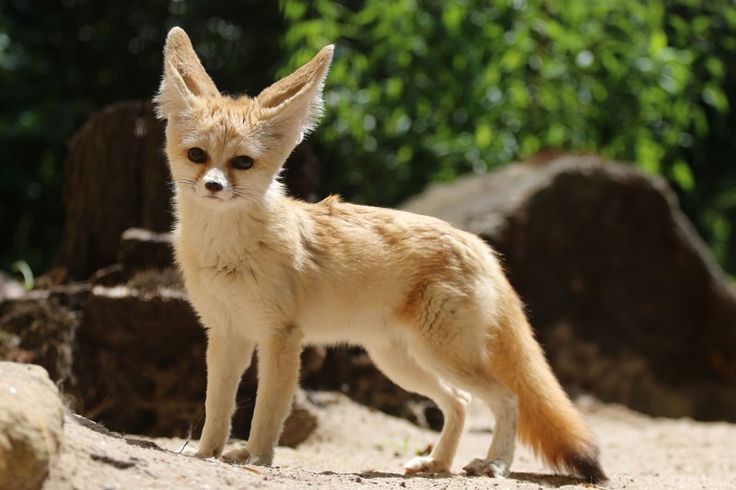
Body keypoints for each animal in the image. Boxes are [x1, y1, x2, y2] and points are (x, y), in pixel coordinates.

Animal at [154, 27, 606, 483]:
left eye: (242, 163)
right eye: (197, 156)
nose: (213, 186)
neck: (225, 251)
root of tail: (475, 242)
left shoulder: (280, 337)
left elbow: (266, 412)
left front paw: (257, 459)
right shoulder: (226, 334)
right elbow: (216, 408)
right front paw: (205, 454)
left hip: (440, 357)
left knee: (506, 397)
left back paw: (494, 463)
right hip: (402, 364)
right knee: (459, 402)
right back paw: (438, 463)